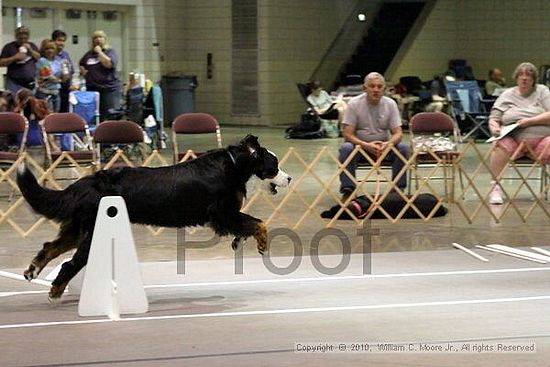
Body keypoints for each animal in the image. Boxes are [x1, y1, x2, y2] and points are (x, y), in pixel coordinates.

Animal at [16, 135, 294, 302]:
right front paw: (261, 243)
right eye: (274, 165)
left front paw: (239, 241)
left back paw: (32, 270)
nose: (289, 178)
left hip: (79, 228)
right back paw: (55, 291)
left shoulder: (227, 216)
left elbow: (247, 225)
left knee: (50, 247)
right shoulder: (223, 213)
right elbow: (258, 222)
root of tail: (88, 182)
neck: (236, 165)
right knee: (69, 264)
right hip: (94, 233)